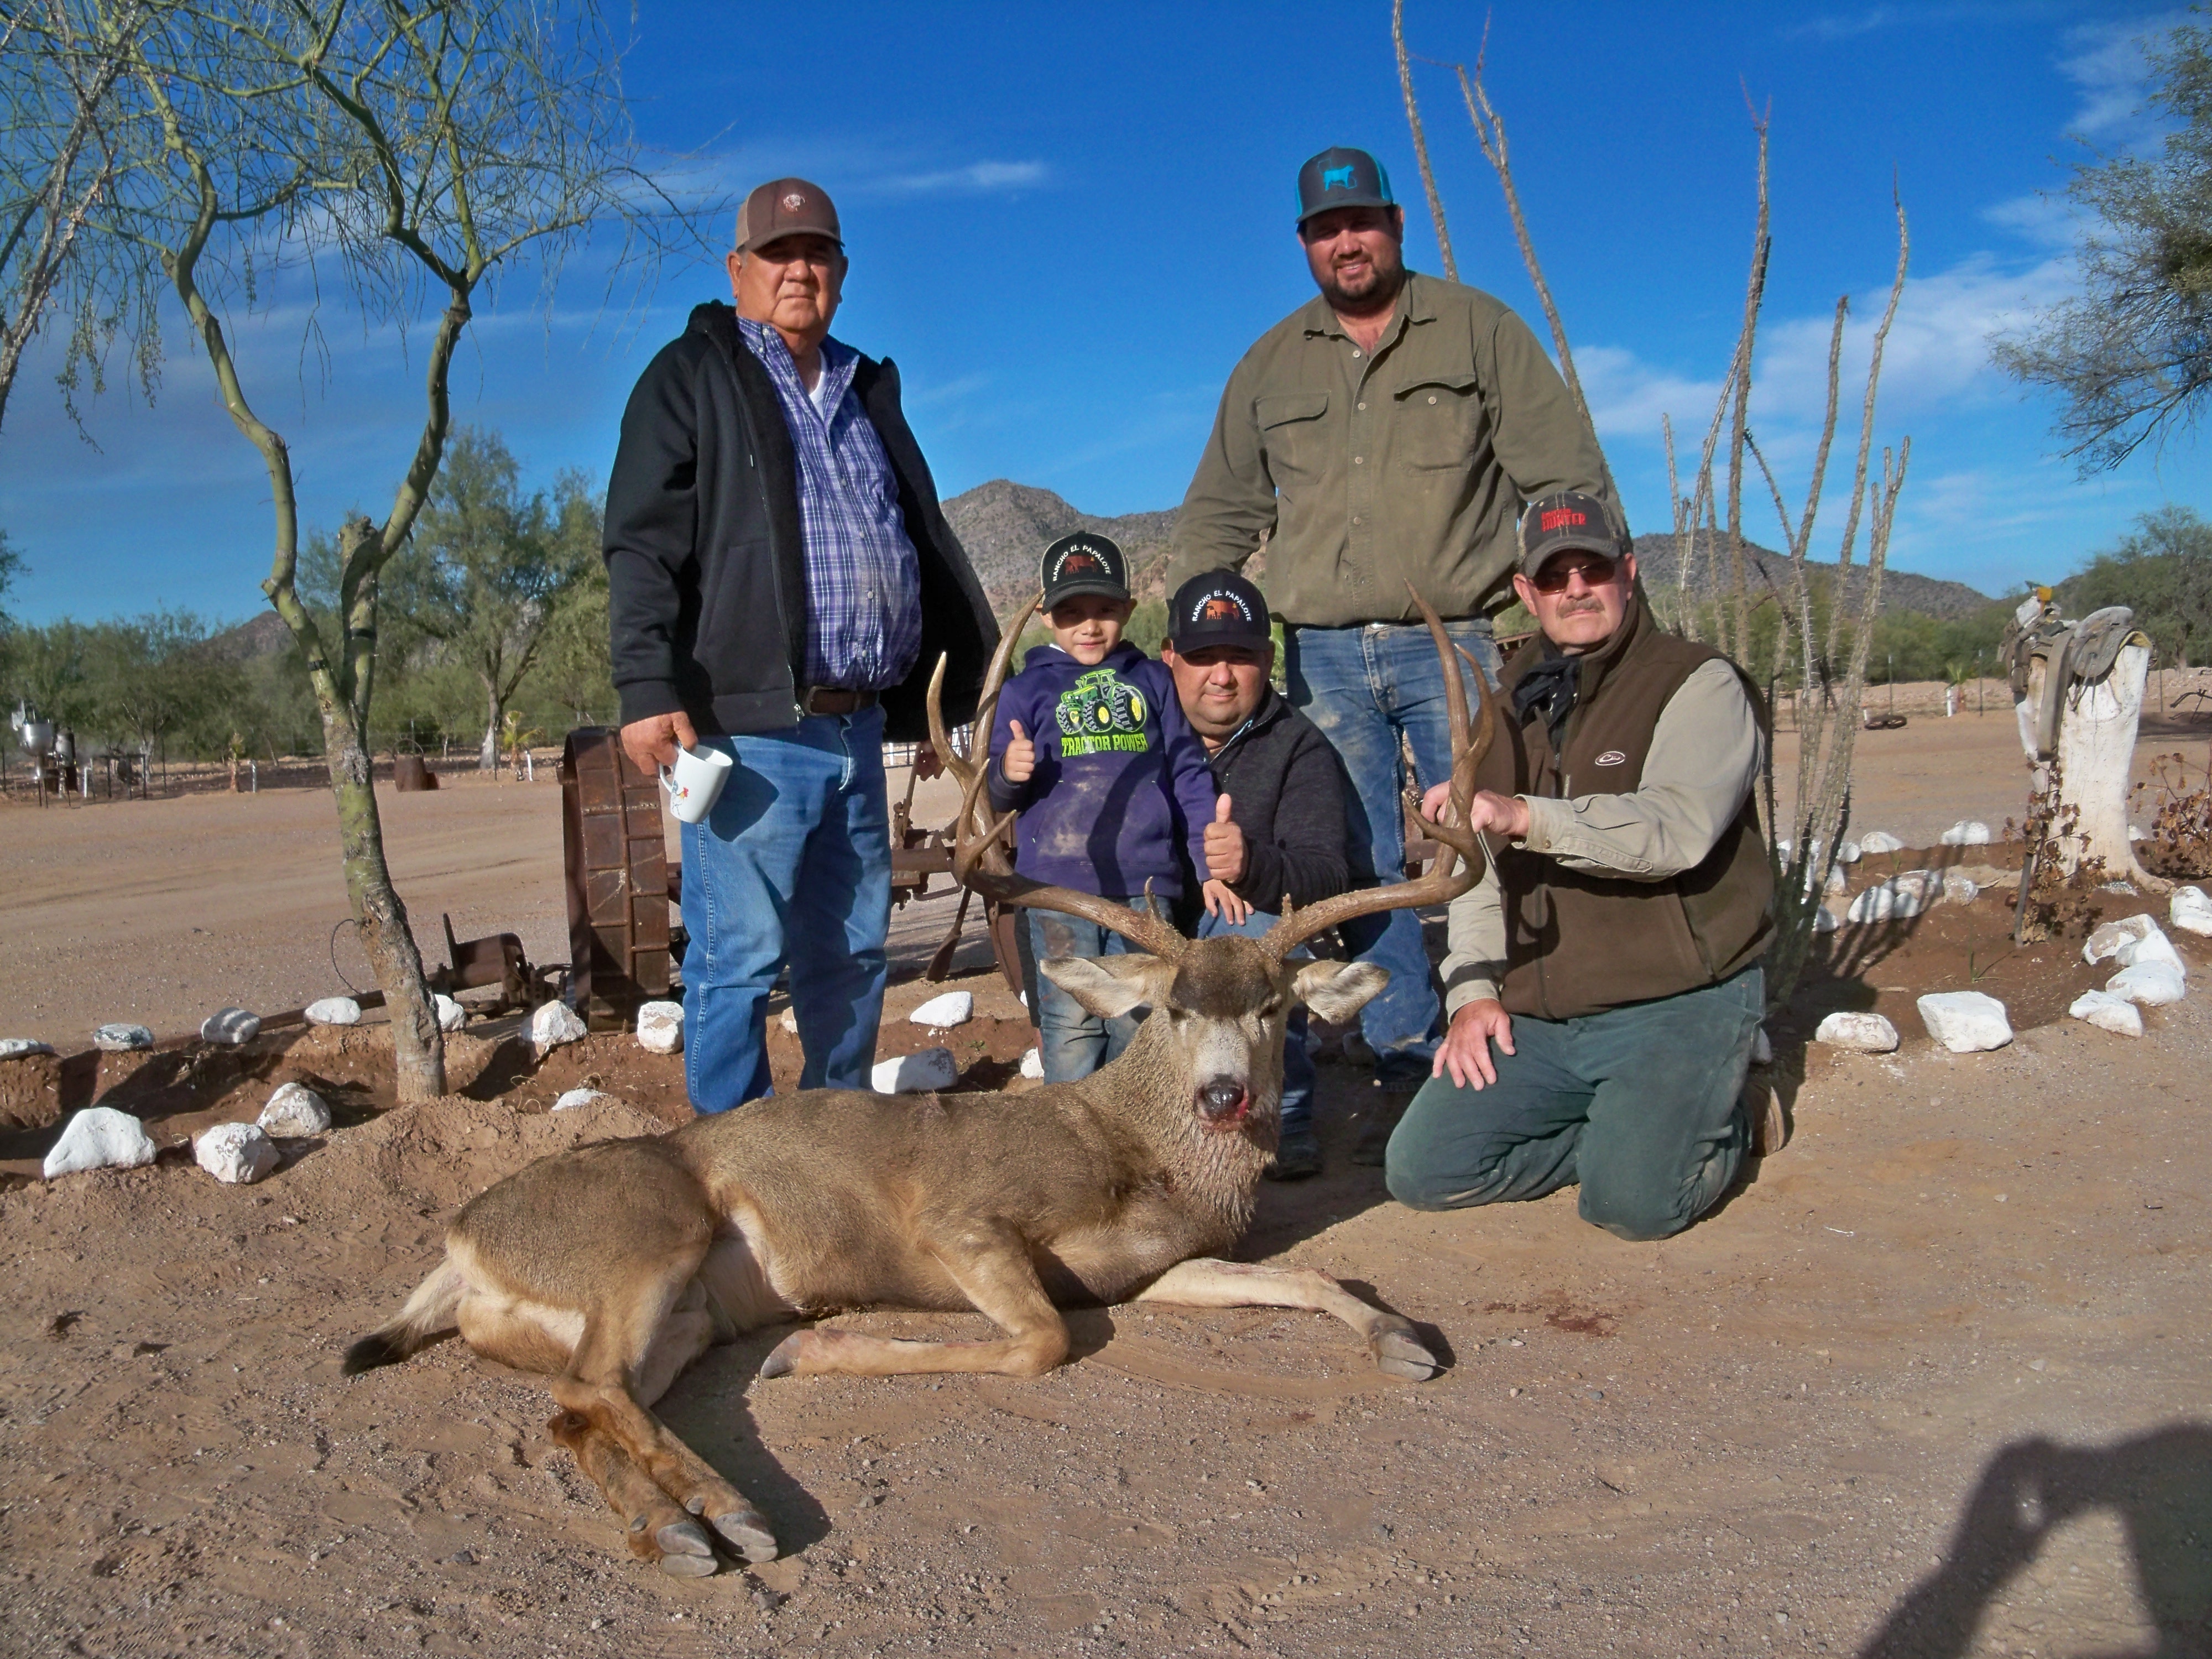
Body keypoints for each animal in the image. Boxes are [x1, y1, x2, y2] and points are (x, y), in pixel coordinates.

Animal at [345, 593, 1495, 1575]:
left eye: (1273, 1008)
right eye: (1173, 1007)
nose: (1224, 1098)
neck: (1143, 1159)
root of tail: (458, 1240)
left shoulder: (1156, 1268)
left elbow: (1318, 1281)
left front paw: (1404, 1339)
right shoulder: (964, 1220)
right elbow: (1041, 1340)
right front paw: (814, 1351)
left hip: (676, 1315)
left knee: (574, 1408)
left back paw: (680, 1530)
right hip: (644, 1233)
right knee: (587, 1386)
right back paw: (734, 1513)